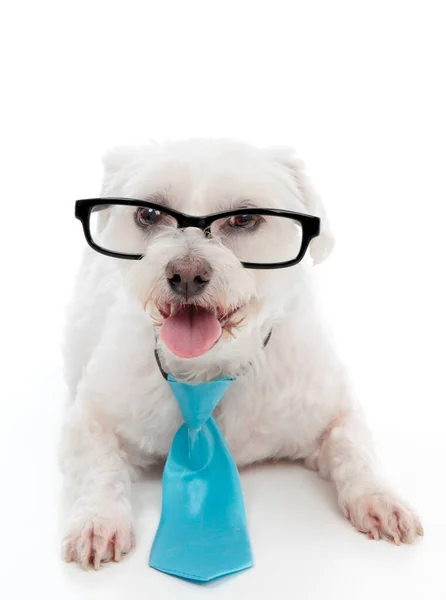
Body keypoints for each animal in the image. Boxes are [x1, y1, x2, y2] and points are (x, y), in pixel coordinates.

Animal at [61, 139, 424, 568]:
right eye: (148, 213)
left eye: (245, 218)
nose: (186, 273)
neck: (210, 371)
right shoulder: (93, 415)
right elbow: (98, 466)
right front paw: (98, 519)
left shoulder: (333, 407)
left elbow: (355, 447)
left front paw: (380, 498)